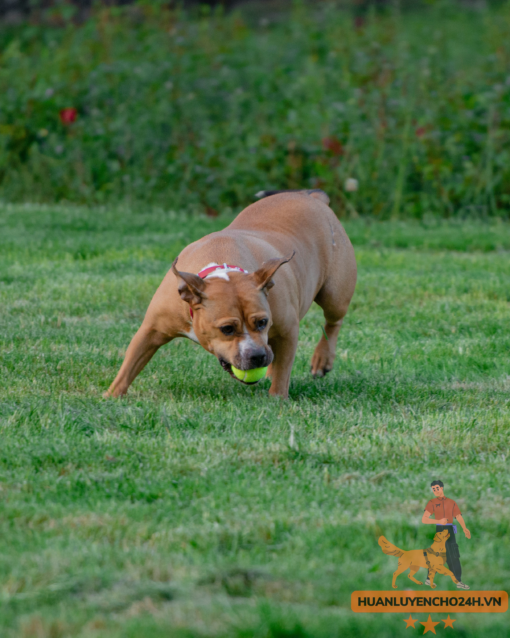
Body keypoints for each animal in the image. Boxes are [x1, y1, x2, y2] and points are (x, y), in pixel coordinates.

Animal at [105, 190, 356, 400]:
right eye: (227, 329)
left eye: (262, 322)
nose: (257, 356)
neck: (222, 267)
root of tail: (311, 196)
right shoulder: (151, 330)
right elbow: (129, 366)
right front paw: (111, 396)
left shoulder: (287, 330)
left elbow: (284, 370)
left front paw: (277, 400)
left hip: (334, 295)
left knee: (333, 322)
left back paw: (322, 358)